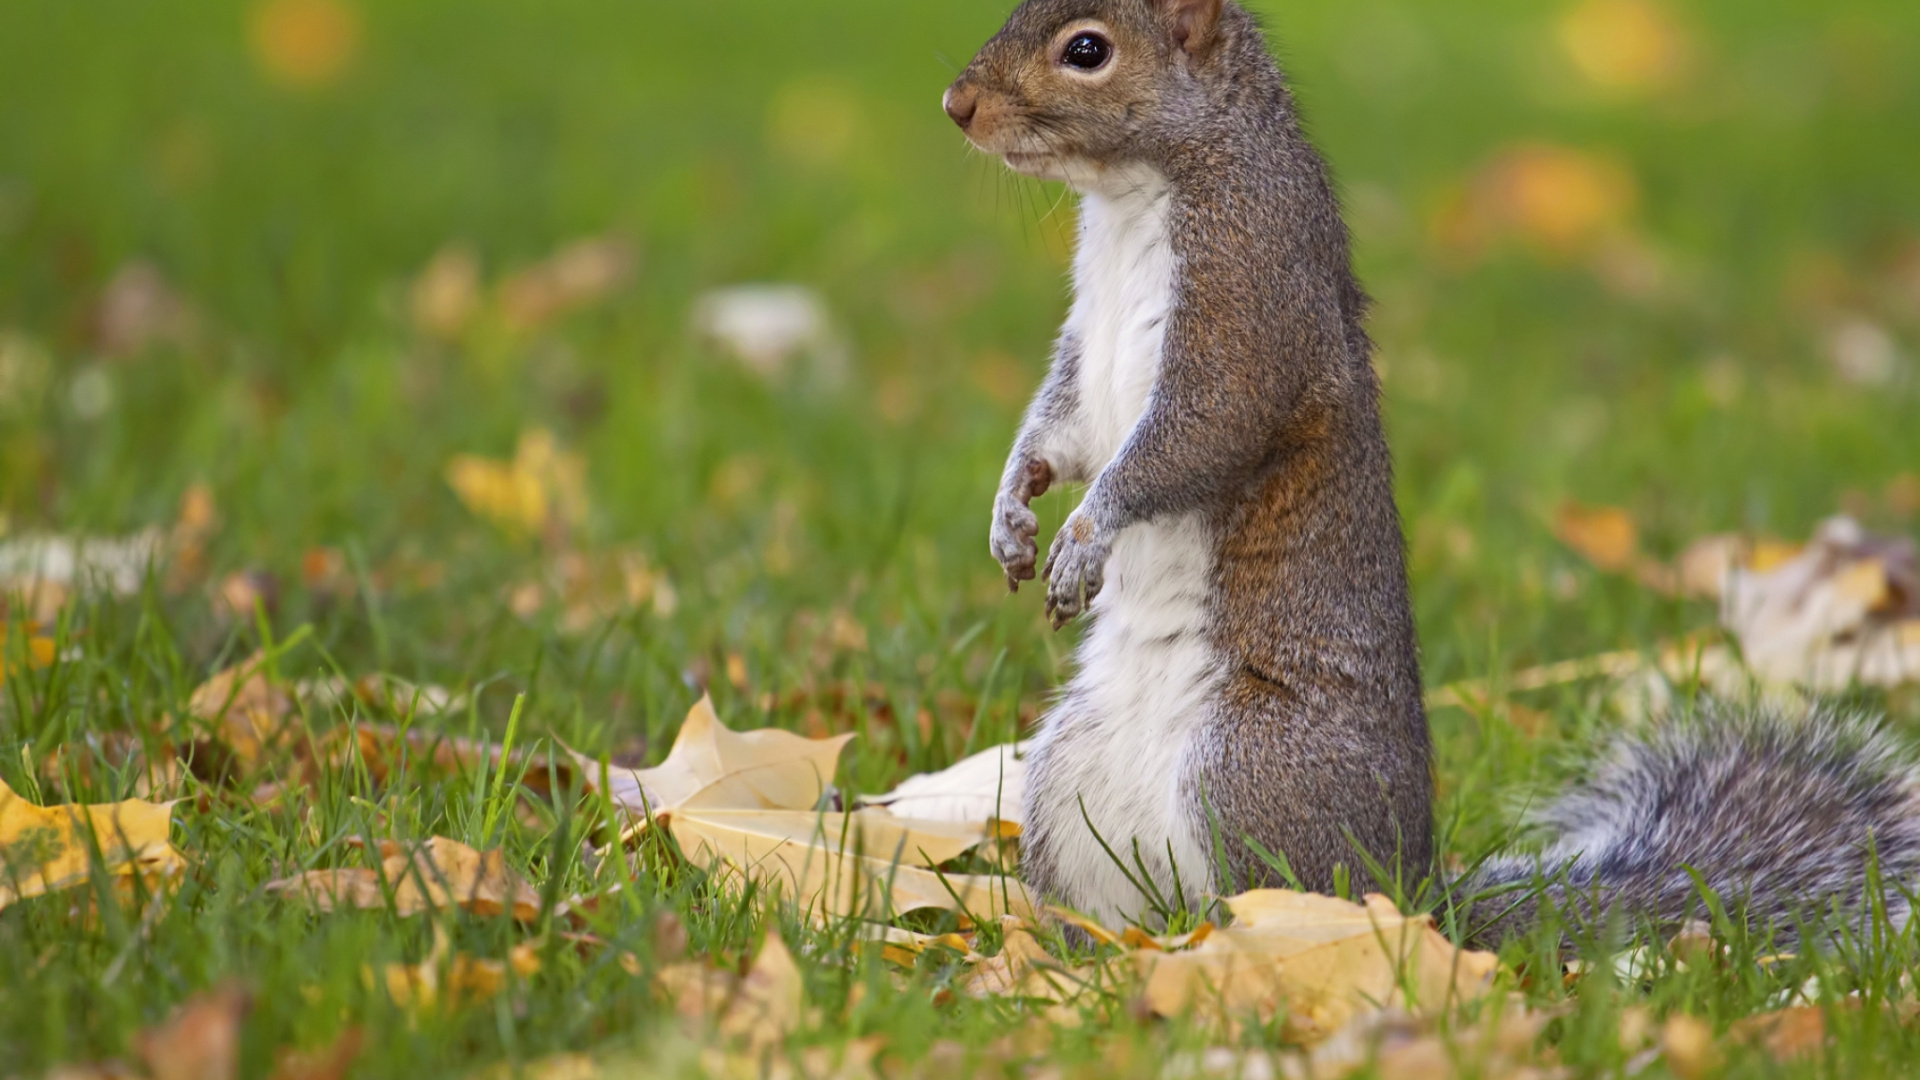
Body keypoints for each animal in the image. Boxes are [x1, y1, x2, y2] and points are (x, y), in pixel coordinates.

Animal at [940, 0, 1920, 941]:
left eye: (1088, 50)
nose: (958, 105)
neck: (1135, 196)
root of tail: (1413, 894)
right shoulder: (1087, 351)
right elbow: (1059, 429)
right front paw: (1010, 512)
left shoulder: (1250, 301)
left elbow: (1191, 440)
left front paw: (1086, 536)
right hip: (1066, 777)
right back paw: (1084, 956)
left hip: (1249, 767)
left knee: (1277, 894)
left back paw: (1244, 945)